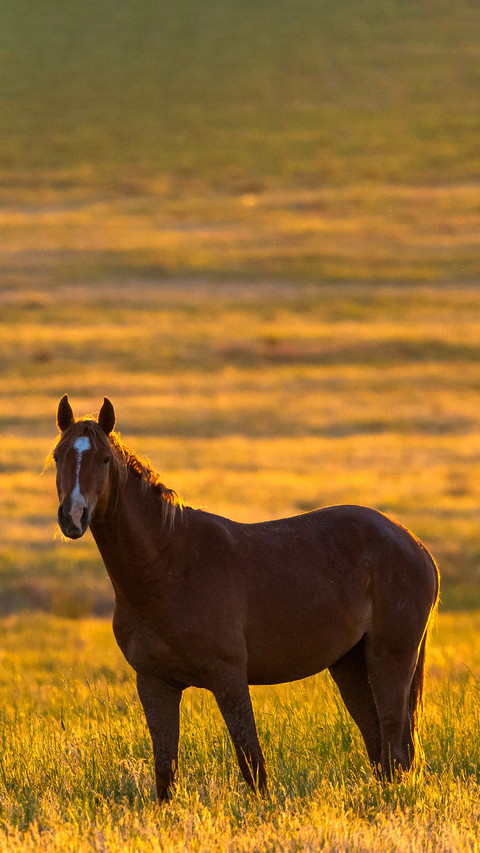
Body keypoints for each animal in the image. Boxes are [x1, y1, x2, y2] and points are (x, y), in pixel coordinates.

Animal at [50, 395, 439, 802]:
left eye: (104, 460)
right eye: (58, 456)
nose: (73, 517)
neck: (167, 565)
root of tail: (415, 544)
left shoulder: (230, 679)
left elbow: (252, 764)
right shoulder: (155, 684)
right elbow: (165, 772)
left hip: (390, 658)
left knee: (394, 746)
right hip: (348, 664)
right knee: (379, 747)